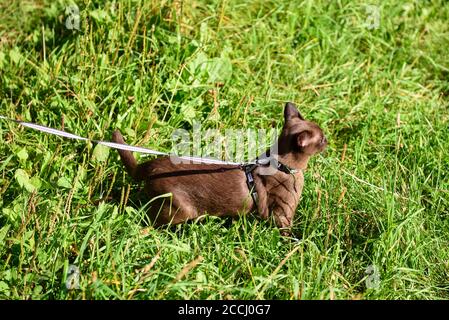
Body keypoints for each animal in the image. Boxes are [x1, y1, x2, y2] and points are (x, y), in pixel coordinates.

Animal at [111, 102, 326, 235]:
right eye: (322, 139)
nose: (329, 140)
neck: (282, 165)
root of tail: (151, 165)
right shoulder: (283, 215)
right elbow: (290, 235)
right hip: (178, 210)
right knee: (148, 222)